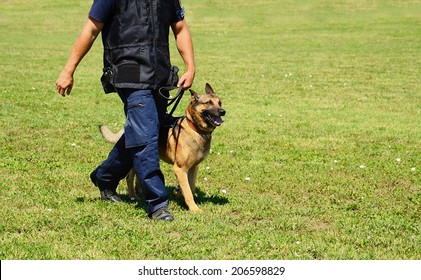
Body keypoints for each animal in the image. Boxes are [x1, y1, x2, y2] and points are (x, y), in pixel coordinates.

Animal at [99, 83, 225, 212]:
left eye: (219, 102)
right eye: (208, 103)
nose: (223, 111)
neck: (195, 128)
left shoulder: (194, 167)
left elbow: (191, 187)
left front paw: (180, 193)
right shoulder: (180, 169)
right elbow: (188, 190)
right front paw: (194, 209)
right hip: (133, 160)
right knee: (129, 177)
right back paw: (133, 196)